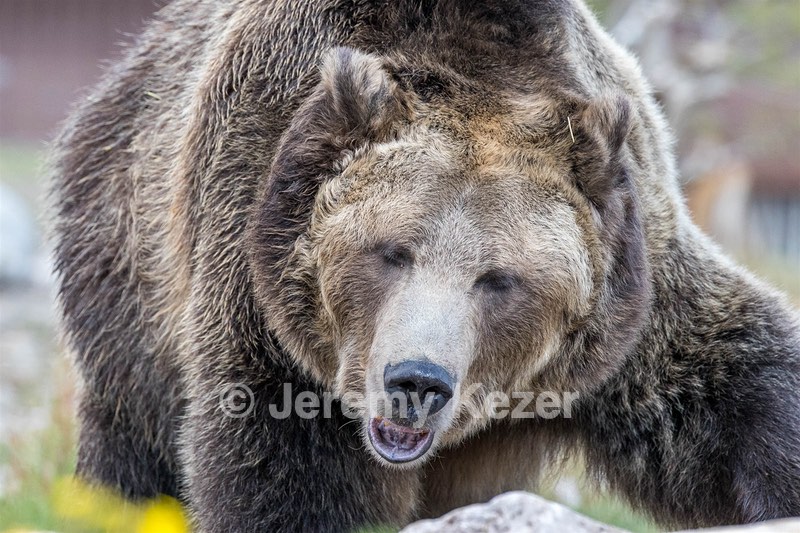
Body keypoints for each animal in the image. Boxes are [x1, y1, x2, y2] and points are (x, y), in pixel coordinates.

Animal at [49, 0, 800, 531]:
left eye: (499, 279)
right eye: (390, 251)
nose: (417, 379)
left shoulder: (633, 303)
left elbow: (734, 384)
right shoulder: (258, 284)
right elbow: (281, 469)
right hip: (129, 254)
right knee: (134, 439)